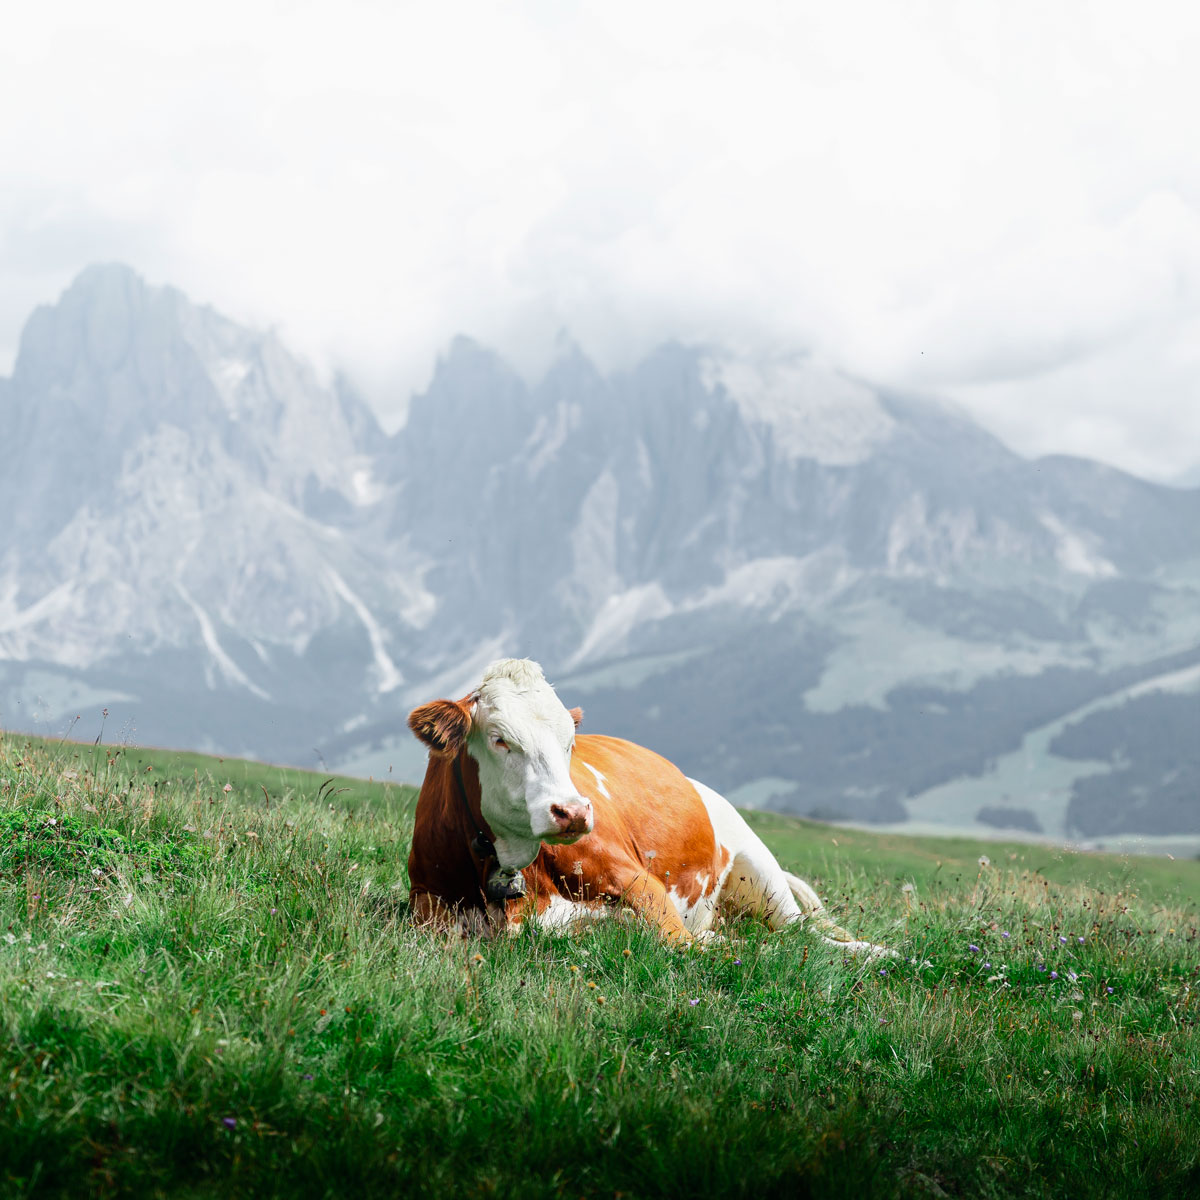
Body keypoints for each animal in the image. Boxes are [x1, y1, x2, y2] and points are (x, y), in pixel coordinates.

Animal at [410, 657, 892, 955]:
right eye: (500, 739)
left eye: (570, 741)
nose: (574, 812)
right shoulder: (425, 901)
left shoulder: (641, 882)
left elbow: (676, 941)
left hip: (760, 870)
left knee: (805, 936)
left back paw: (885, 954)